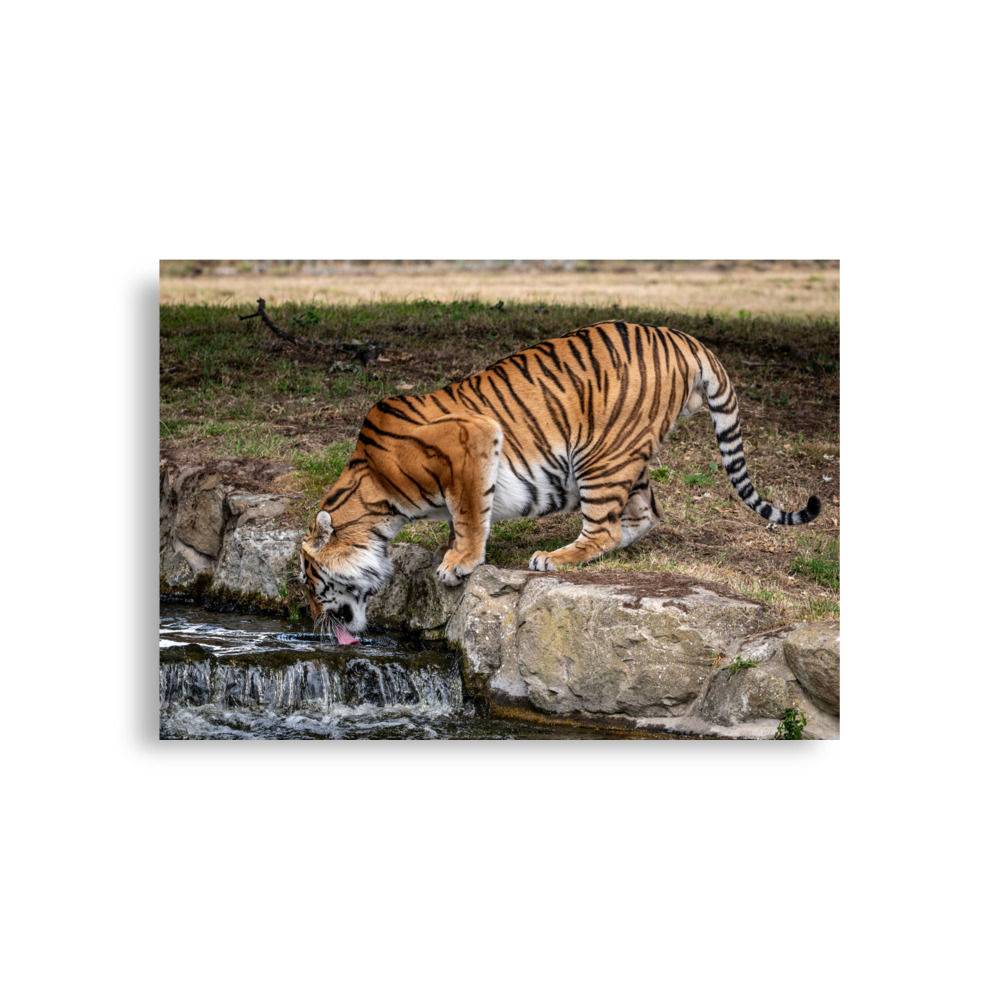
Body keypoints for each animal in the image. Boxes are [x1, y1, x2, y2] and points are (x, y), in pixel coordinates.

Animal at [300, 320, 821, 644]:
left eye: (309, 582)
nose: (312, 622)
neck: (375, 496)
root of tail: (682, 337)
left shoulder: (473, 438)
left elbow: (469, 514)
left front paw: (458, 564)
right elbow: (463, 516)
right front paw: (451, 553)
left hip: (600, 455)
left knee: (604, 528)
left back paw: (553, 557)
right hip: (625, 457)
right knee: (645, 514)